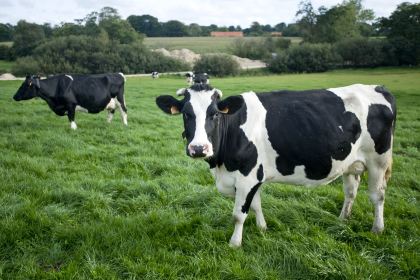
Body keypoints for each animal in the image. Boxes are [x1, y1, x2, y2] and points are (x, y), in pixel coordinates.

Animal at [157, 83, 398, 247]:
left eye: (214, 114)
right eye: (186, 114)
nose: (199, 148)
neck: (220, 166)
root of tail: (378, 88)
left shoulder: (247, 177)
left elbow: (239, 214)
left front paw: (235, 243)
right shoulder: (255, 176)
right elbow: (256, 205)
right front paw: (263, 228)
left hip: (378, 161)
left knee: (377, 195)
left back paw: (377, 229)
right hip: (350, 161)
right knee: (351, 190)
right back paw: (342, 220)